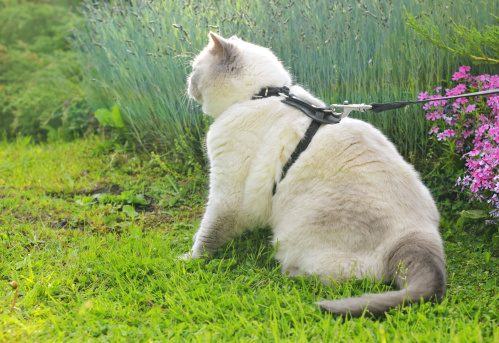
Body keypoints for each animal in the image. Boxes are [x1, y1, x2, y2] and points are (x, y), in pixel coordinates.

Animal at [186, 32, 448, 318]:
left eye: (194, 70)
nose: (187, 84)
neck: (261, 95)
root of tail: (417, 236)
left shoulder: (227, 193)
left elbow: (207, 234)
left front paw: (187, 261)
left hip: (295, 237)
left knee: (338, 279)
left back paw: (290, 275)